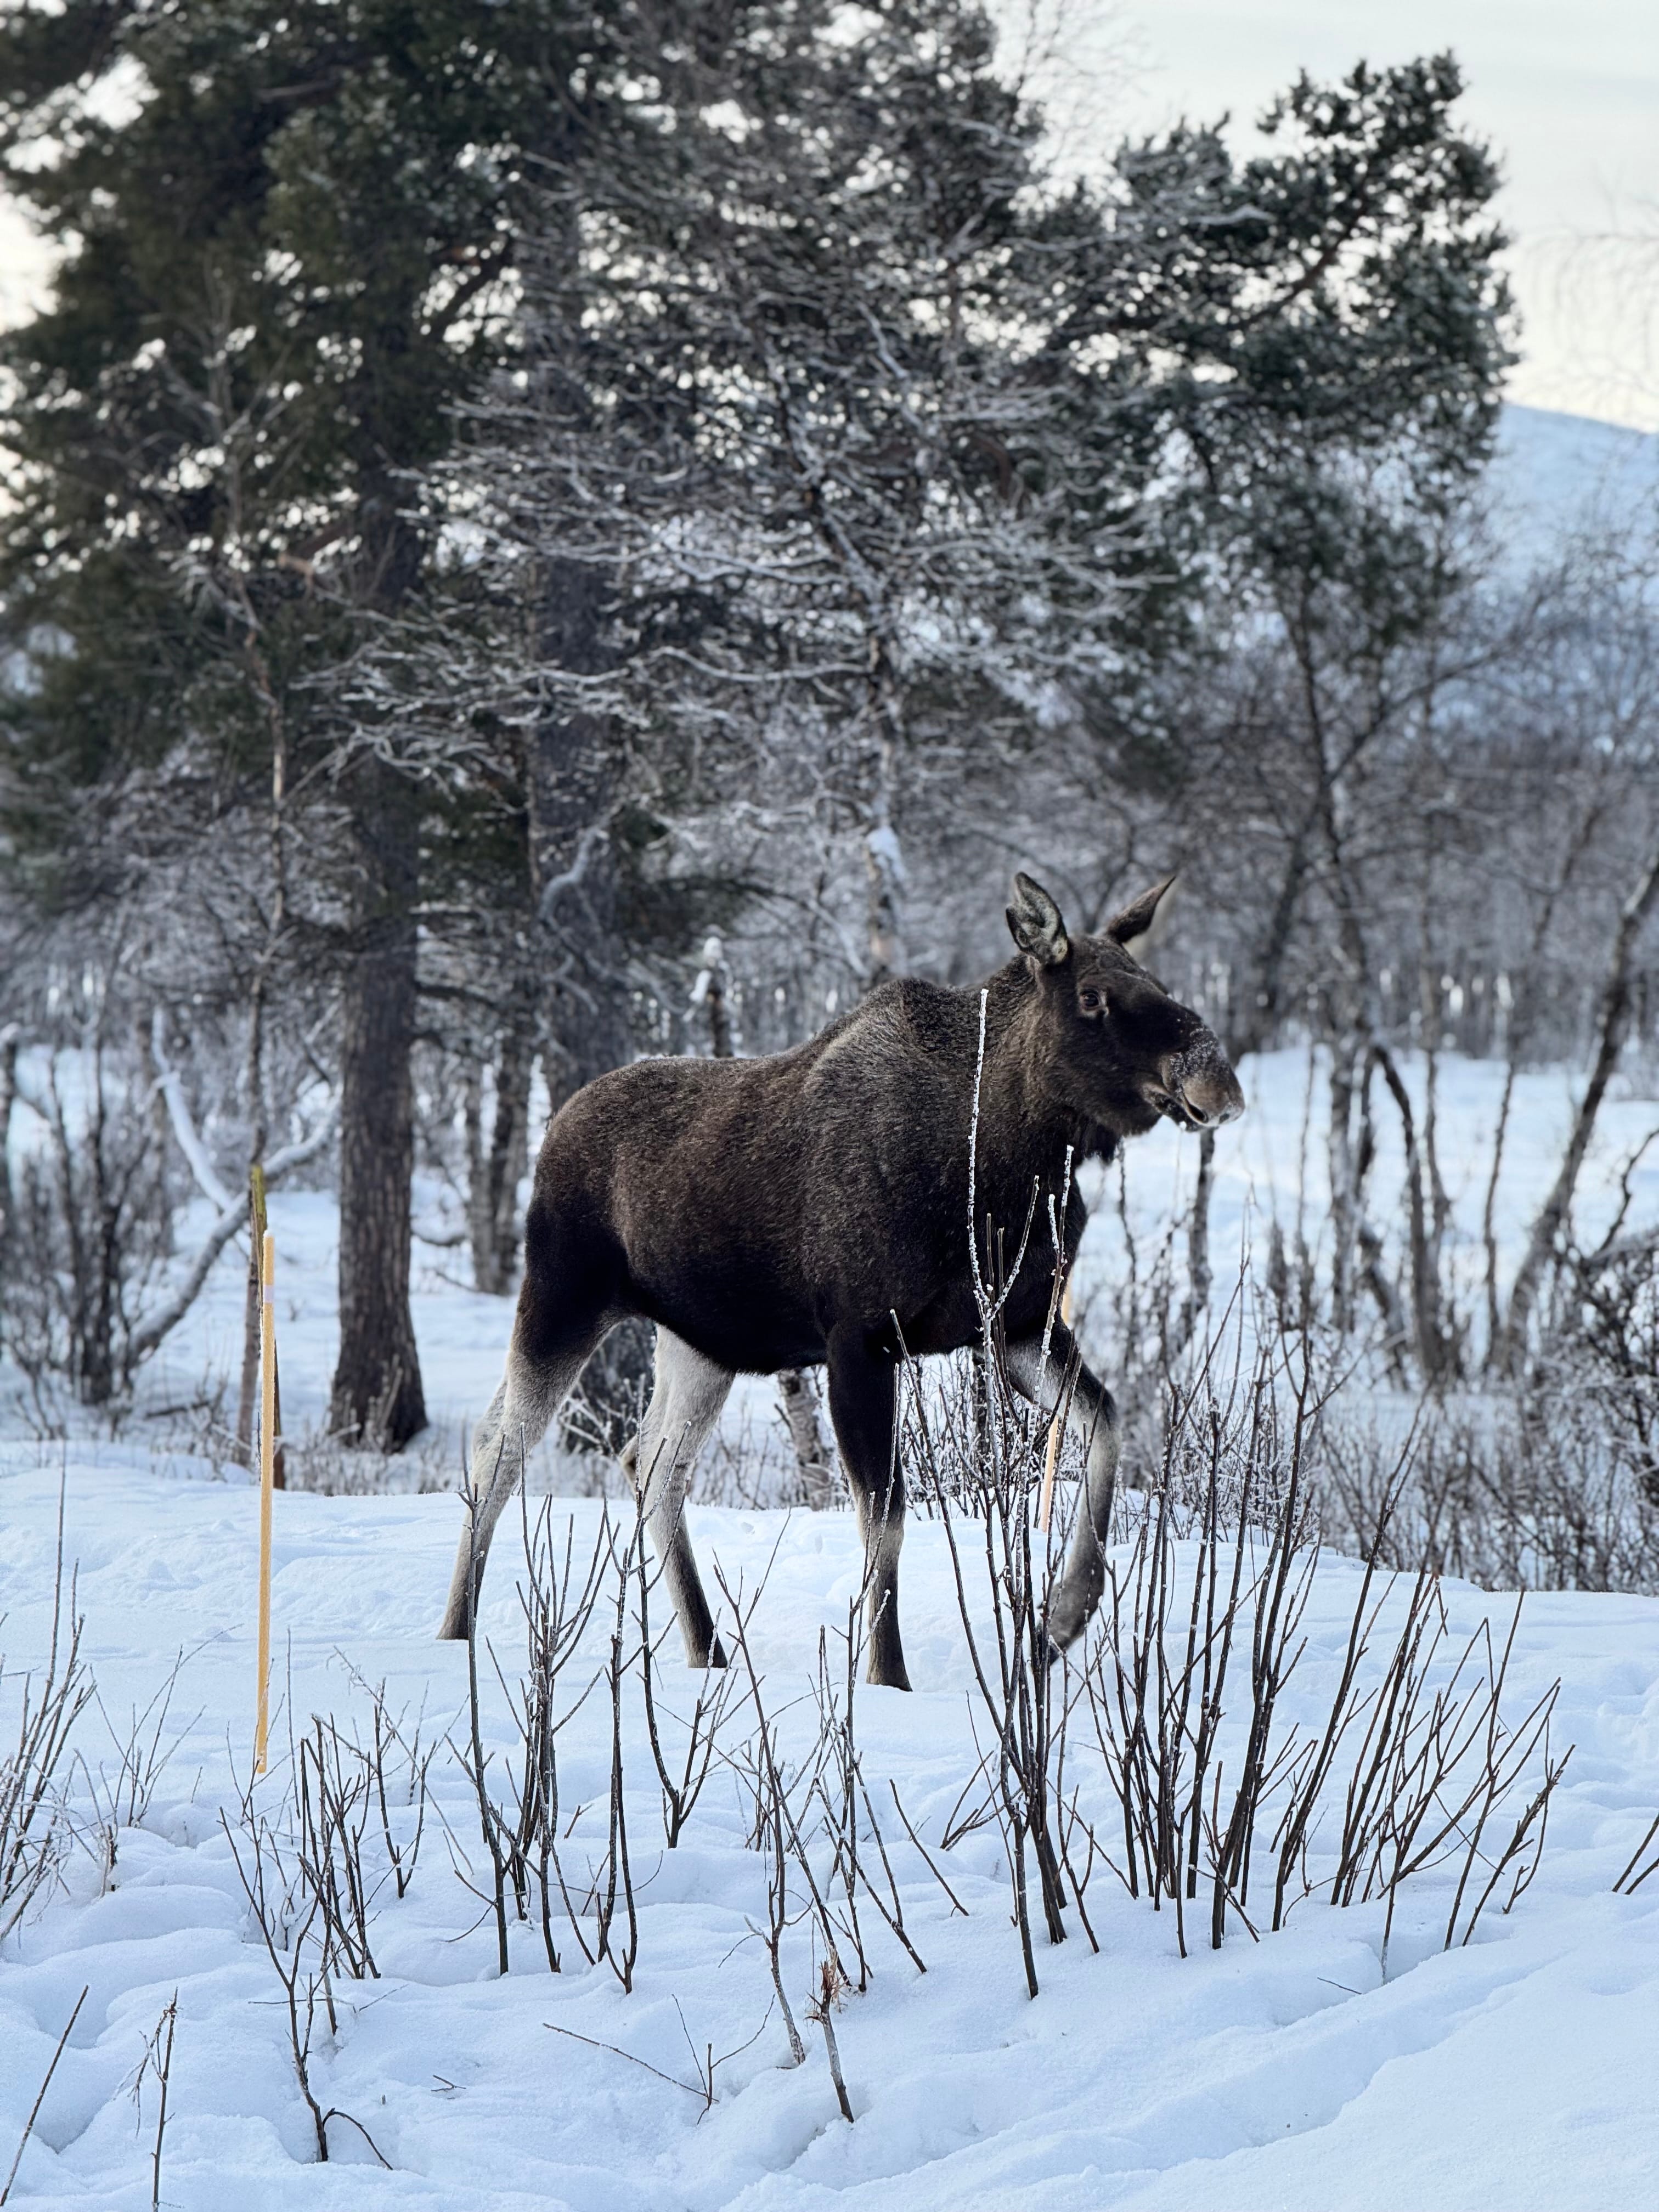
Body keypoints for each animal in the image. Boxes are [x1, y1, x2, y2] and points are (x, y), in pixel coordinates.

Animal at [438, 872, 1243, 1688]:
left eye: (1156, 983)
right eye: (1092, 997)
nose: (1217, 1080)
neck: (1011, 1161)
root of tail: (556, 1123)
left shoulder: (1015, 1328)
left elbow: (1107, 1422)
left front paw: (1062, 1616)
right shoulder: (862, 1337)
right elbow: (883, 1518)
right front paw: (888, 1681)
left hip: (702, 1342)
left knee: (651, 1463)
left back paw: (708, 1649)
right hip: (563, 1294)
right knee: (499, 1448)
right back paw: (455, 1632)